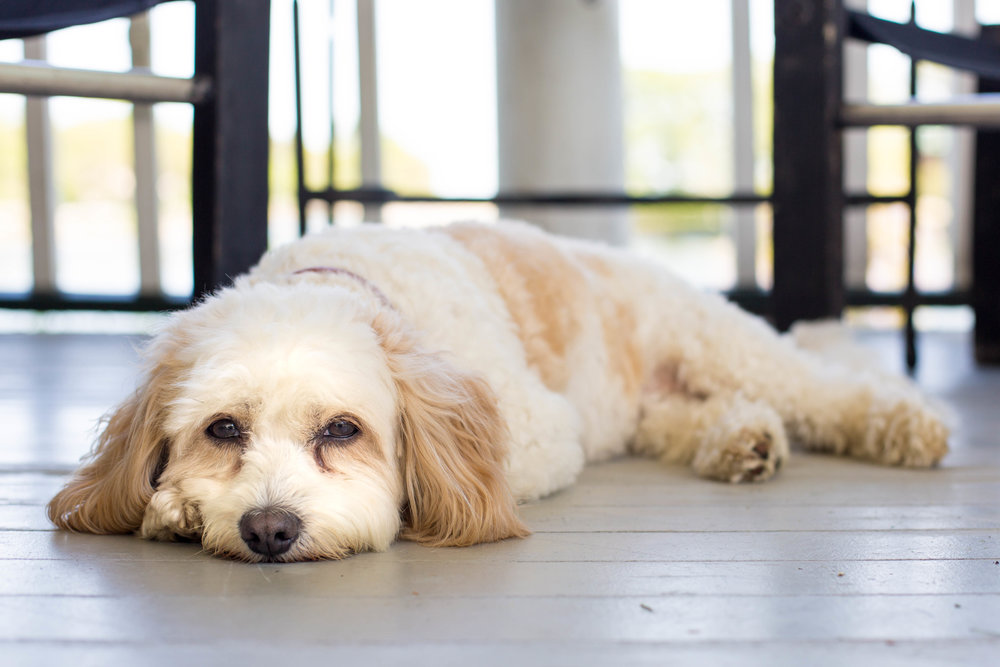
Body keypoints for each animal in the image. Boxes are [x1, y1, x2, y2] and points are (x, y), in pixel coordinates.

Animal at [50, 223, 948, 564]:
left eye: (341, 430)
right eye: (223, 428)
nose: (270, 529)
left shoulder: (541, 428)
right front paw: (176, 508)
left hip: (720, 343)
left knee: (823, 389)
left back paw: (905, 425)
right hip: (654, 409)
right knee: (694, 420)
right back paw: (740, 442)